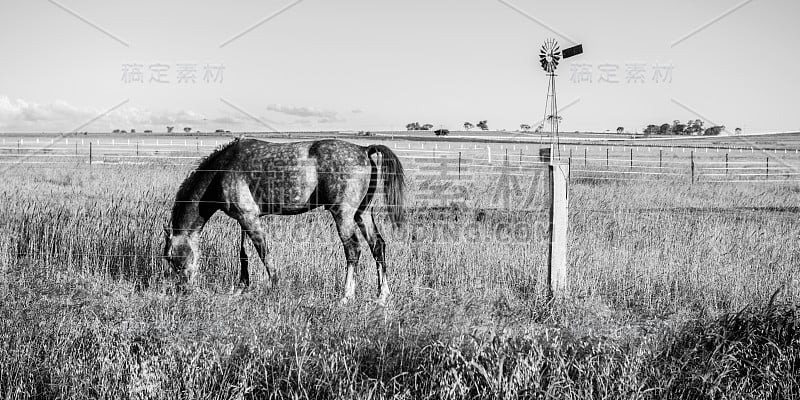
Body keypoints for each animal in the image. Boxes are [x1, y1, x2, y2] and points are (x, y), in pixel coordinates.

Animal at [166, 138, 410, 304]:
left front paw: (275, 286)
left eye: (171, 258)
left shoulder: (249, 218)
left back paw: (346, 296)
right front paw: (242, 286)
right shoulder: (245, 219)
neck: (222, 169)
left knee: (353, 249)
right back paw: (382, 295)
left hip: (343, 214)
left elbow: (264, 253)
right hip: (362, 213)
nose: (184, 289)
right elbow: (244, 253)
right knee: (377, 245)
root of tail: (363, 150)